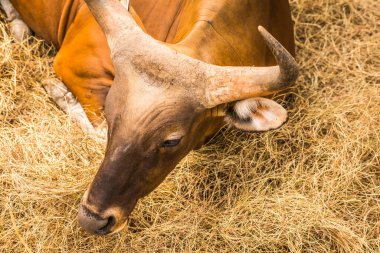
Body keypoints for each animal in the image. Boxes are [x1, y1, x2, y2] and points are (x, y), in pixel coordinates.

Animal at [1, 0, 300, 235]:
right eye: (111, 115)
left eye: (171, 140)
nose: (92, 219)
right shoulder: (75, 68)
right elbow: (96, 132)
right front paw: (59, 93)